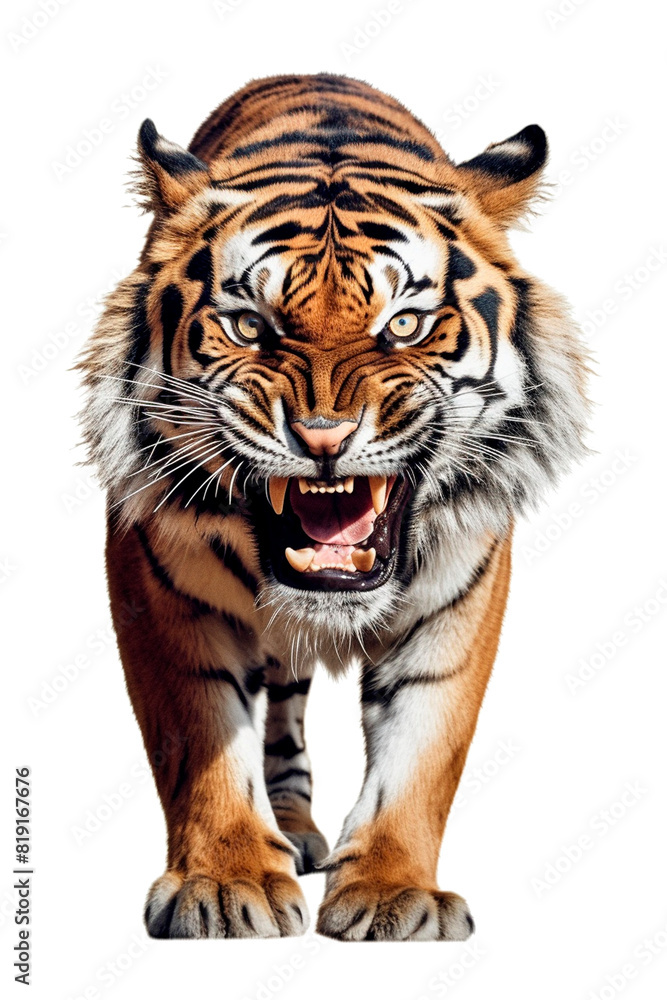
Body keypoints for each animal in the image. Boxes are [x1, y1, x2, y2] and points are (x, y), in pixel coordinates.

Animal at [78, 73, 589, 941]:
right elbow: (201, 735)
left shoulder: (459, 597)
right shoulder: (160, 583)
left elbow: (423, 752)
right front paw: (224, 883)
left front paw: (392, 890)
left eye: (404, 325)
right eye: (249, 326)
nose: (323, 437)